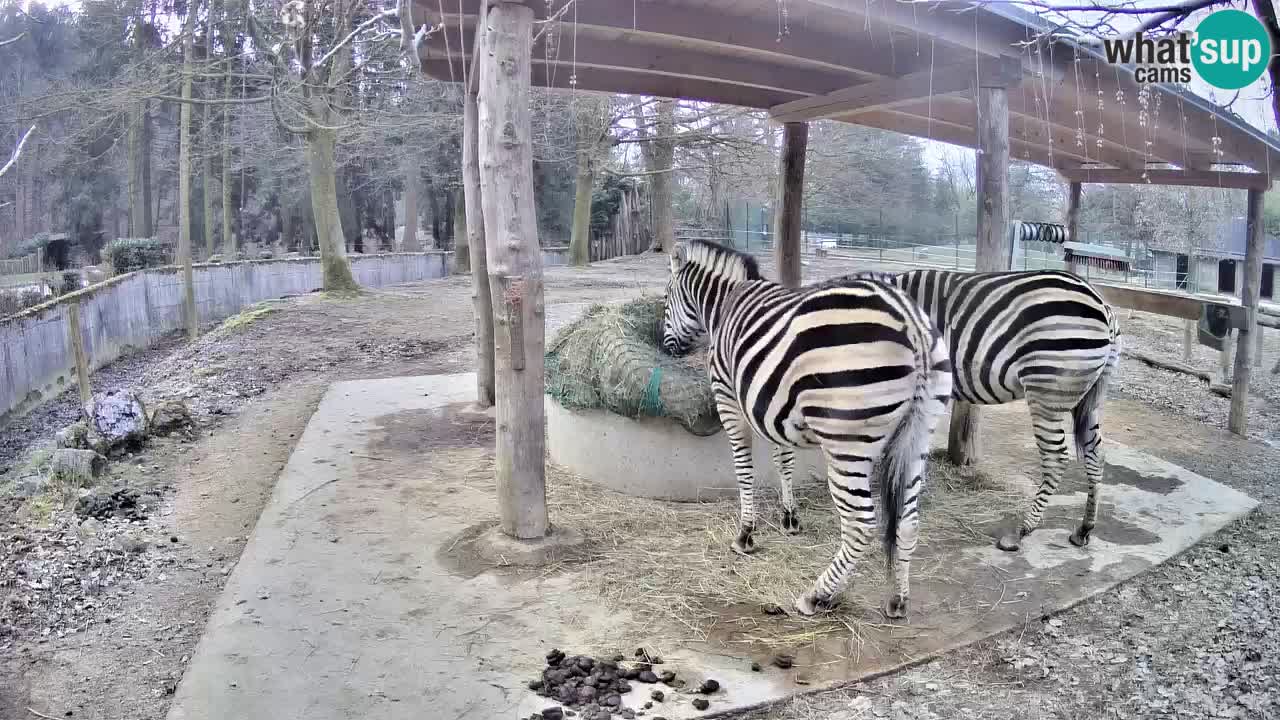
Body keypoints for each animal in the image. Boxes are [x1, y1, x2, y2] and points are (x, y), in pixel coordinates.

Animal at [660, 240, 952, 617]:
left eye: (666, 298)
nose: (666, 348)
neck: (725, 304)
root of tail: (911, 320)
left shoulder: (729, 397)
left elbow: (744, 468)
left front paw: (746, 535)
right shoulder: (774, 409)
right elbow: (783, 462)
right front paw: (790, 519)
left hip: (847, 442)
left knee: (860, 525)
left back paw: (815, 596)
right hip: (920, 434)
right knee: (908, 519)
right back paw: (898, 599)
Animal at [834, 266, 1116, 550]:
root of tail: (1102, 304)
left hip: (1047, 392)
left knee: (1057, 458)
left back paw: (1022, 530)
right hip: (1088, 397)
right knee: (1096, 453)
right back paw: (1083, 529)